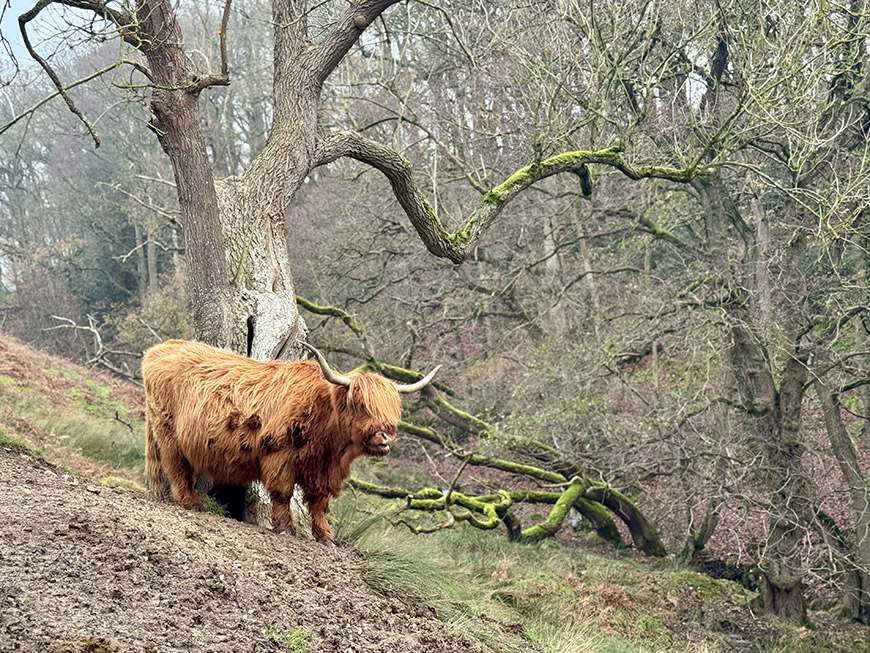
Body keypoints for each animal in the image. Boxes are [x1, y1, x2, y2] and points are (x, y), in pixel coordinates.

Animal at [142, 339, 439, 542]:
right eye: (361, 405)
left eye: (393, 408)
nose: (385, 436)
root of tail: (159, 349)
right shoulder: (280, 454)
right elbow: (282, 493)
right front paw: (285, 528)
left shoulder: (325, 470)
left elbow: (320, 502)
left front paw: (325, 535)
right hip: (167, 430)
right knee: (176, 466)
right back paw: (190, 502)